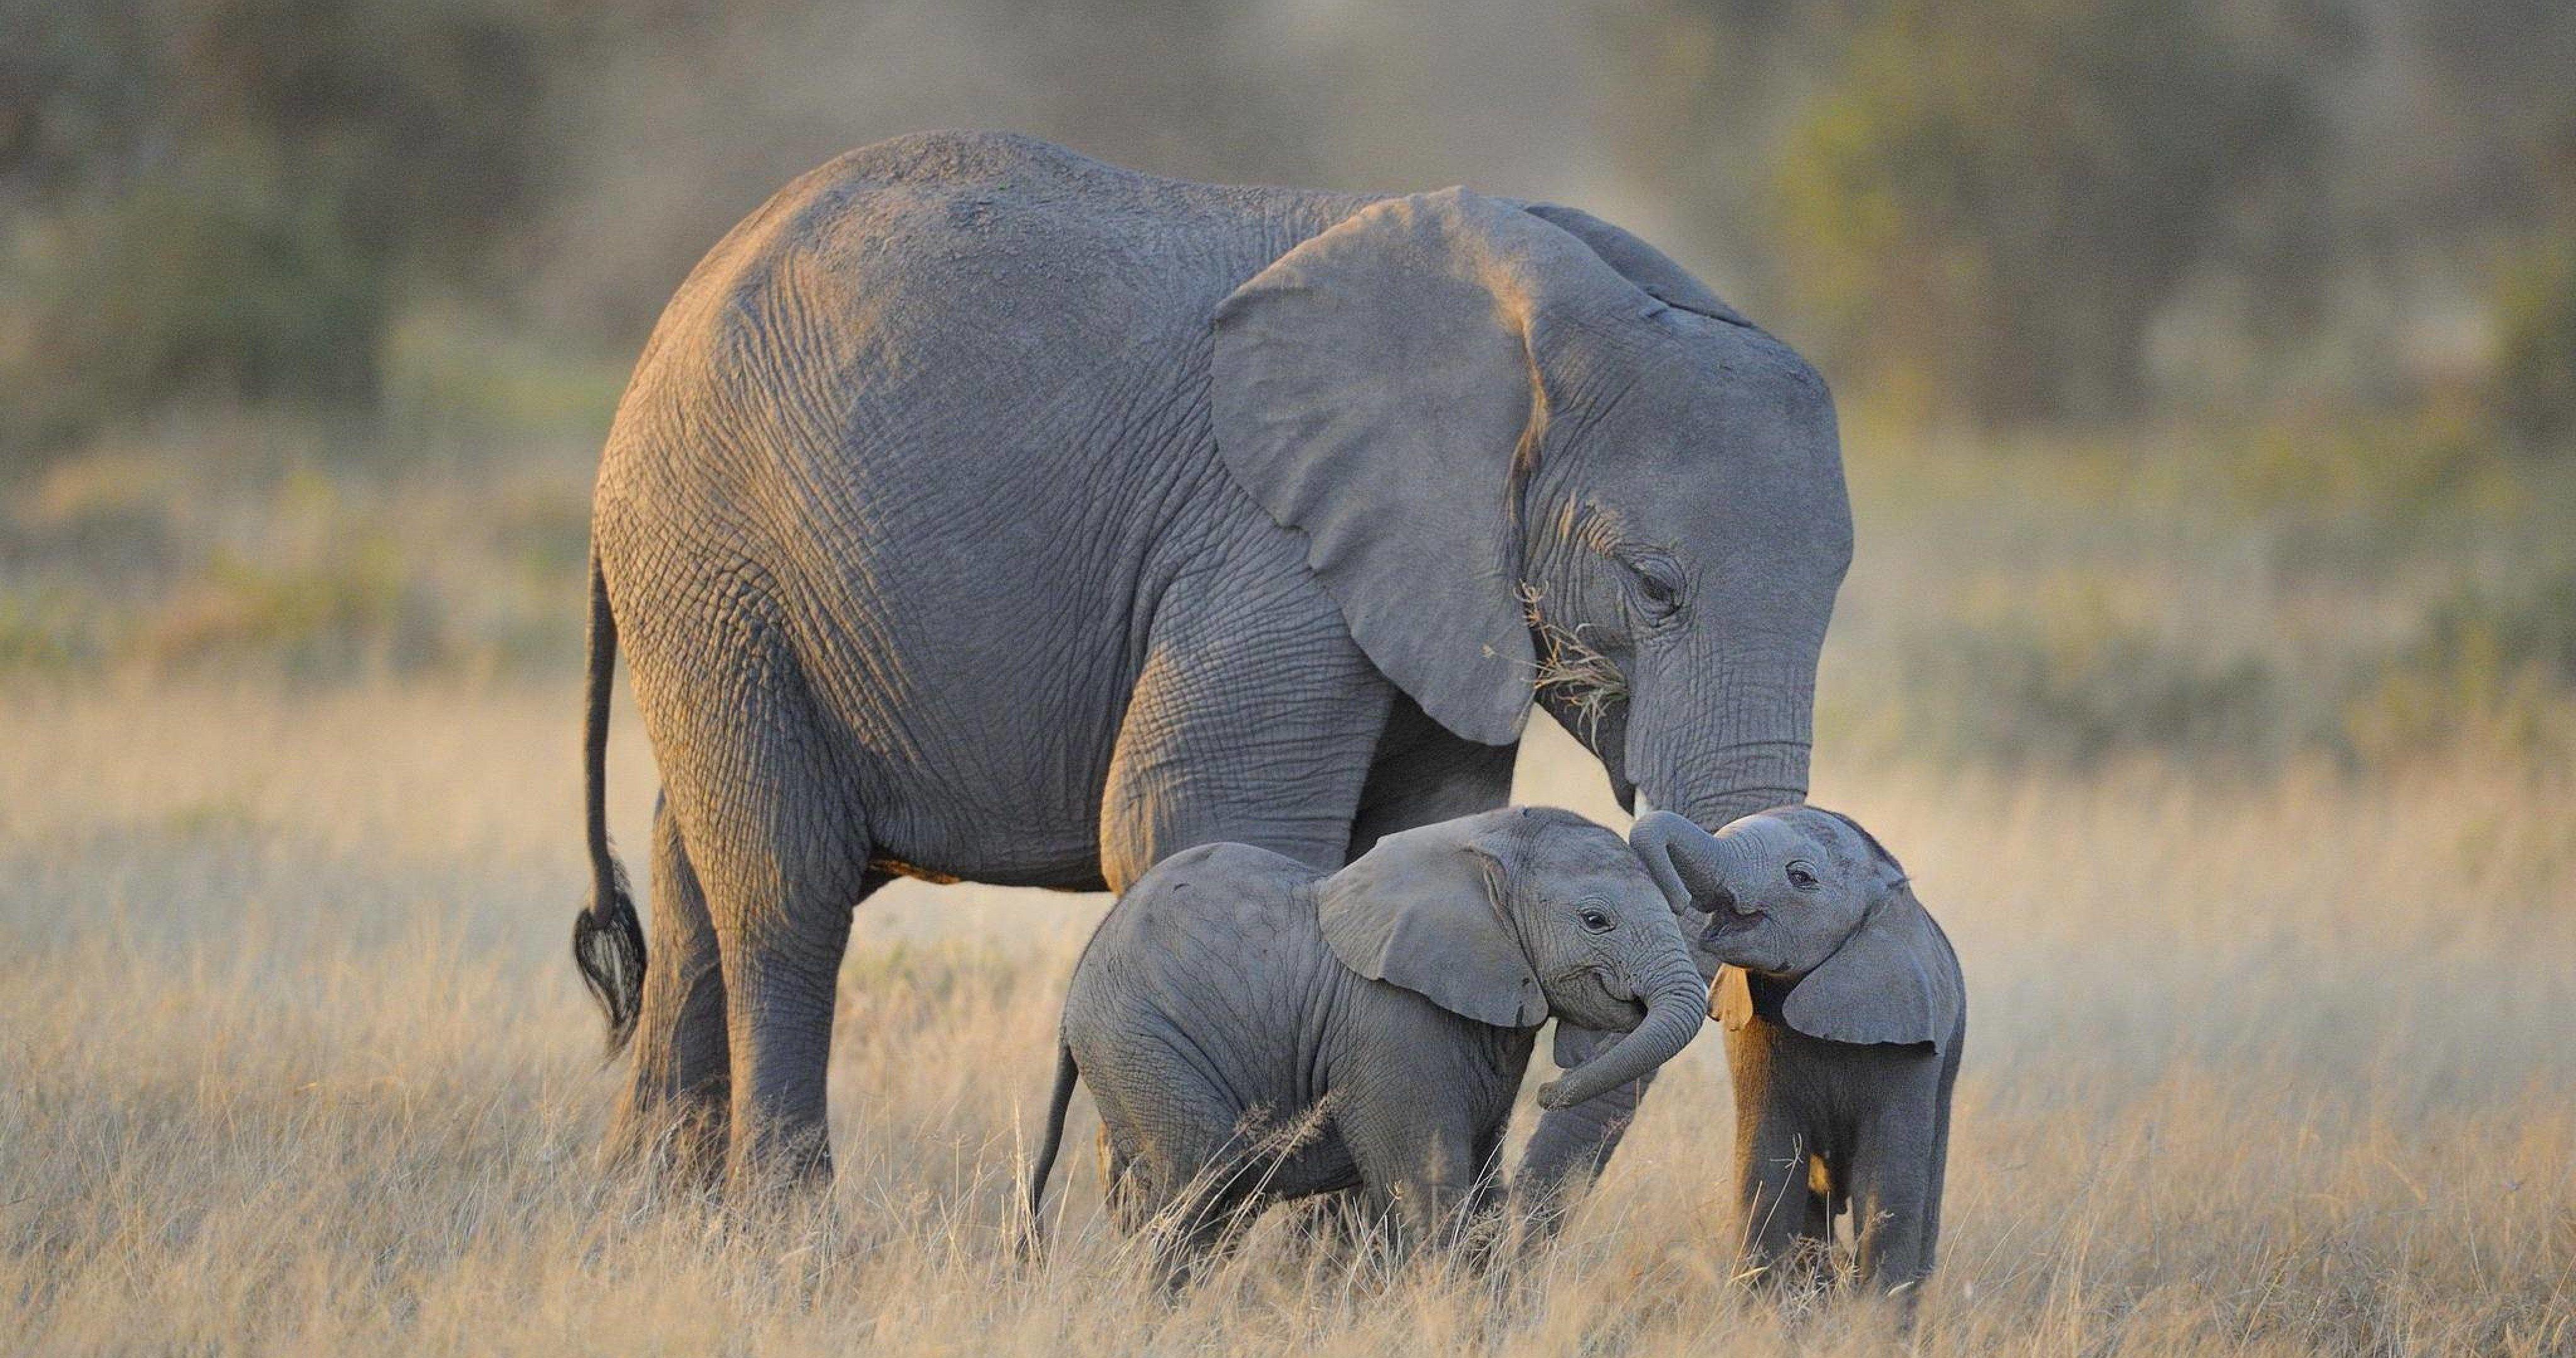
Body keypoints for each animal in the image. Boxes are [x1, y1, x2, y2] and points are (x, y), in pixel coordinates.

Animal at [568, 130, 1852, 1187]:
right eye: (1655, 587)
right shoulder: (1267, 547)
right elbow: (1196, 820)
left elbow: (1418, 837)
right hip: (715, 558)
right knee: (784, 892)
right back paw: (787, 1231)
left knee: (692, 877)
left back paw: (654, 1219)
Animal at [1024, 807, 1706, 1276]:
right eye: (1596, 921)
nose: (1549, 1092)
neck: (1482, 845)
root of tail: (1076, 990)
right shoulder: (1394, 1026)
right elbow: (1429, 1193)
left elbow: (1483, 1188)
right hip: (1142, 1044)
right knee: (1203, 1185)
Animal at [1628, 807, 1964, 1299]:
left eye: (1801, 877)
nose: (1674, 897)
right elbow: (1767, 1168)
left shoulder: (1912, 1043)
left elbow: (1888, 1185)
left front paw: (1874, 1319)